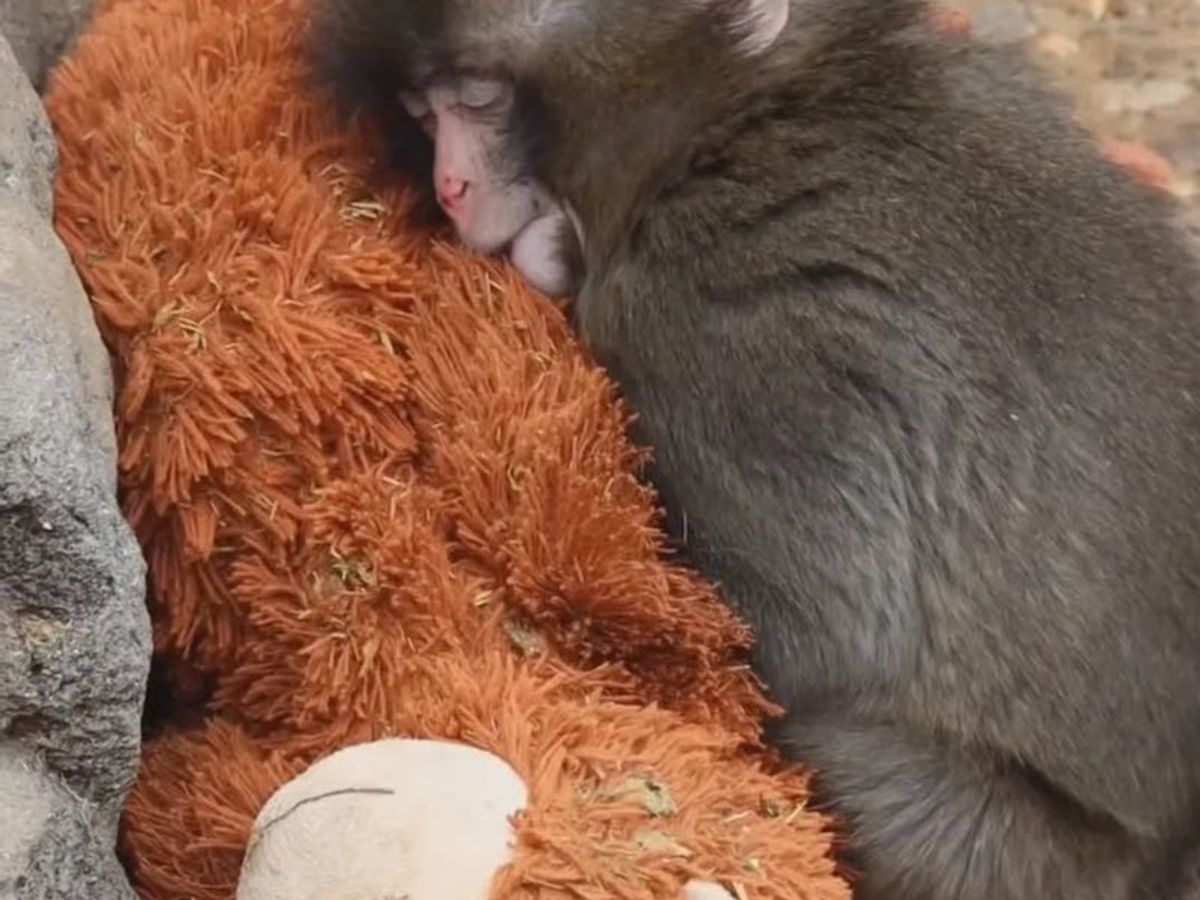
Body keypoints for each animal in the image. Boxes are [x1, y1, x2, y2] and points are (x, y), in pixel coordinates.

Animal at [308, 1, 1200, 898]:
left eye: (480, 96)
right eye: (424, 112)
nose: (451, 188)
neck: (738, 122)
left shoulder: (711, 319)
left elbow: (806, 638)